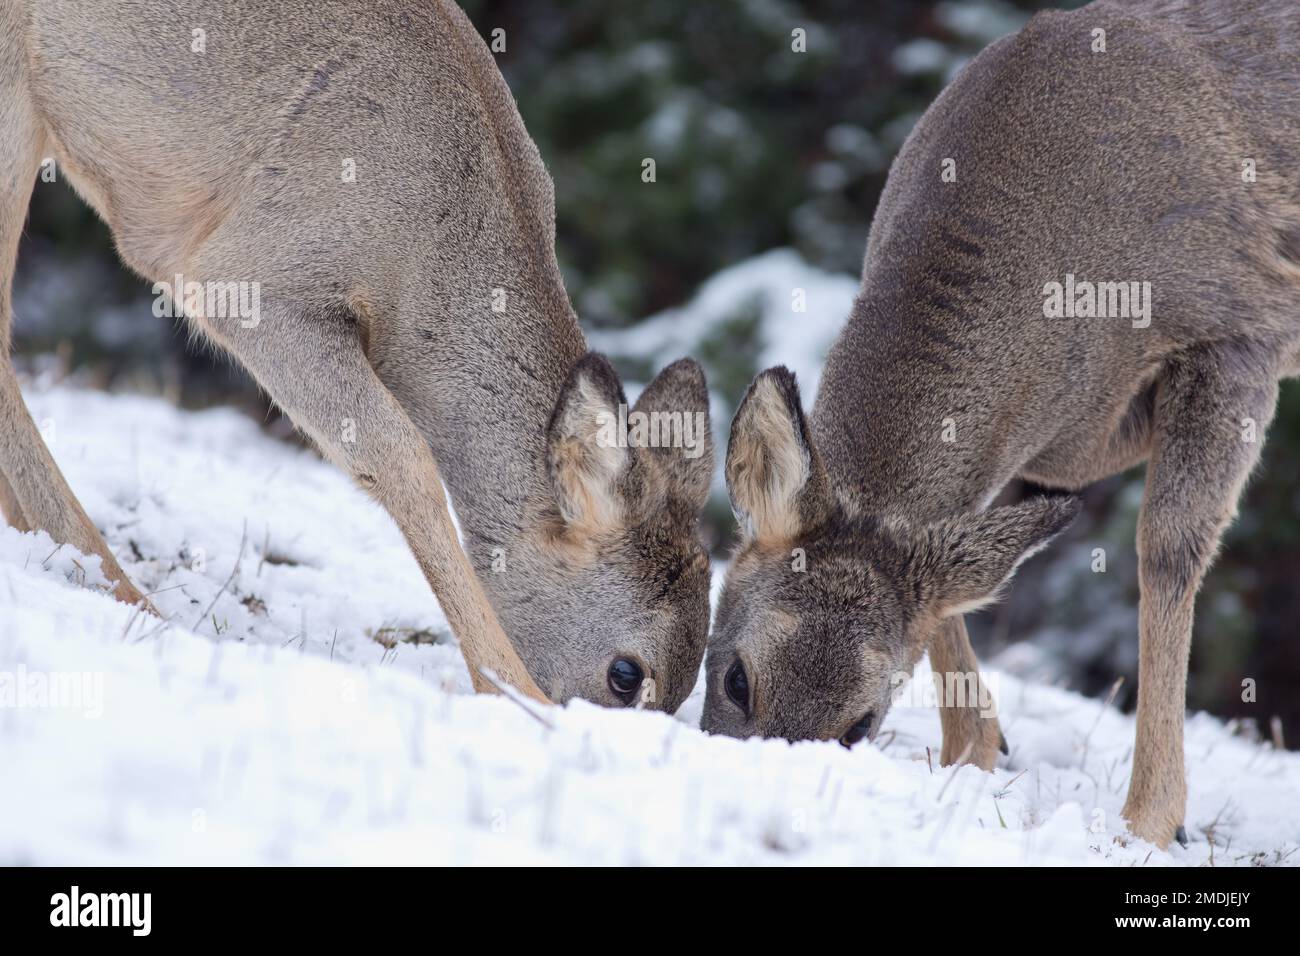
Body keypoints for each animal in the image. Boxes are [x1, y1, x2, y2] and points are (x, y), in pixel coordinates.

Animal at [707, 0, 1294, 853]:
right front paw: (973, 750)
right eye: (735, 678)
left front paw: (1146, 823)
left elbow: (1168, 552)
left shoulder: (1240, 338)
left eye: (860, 725)